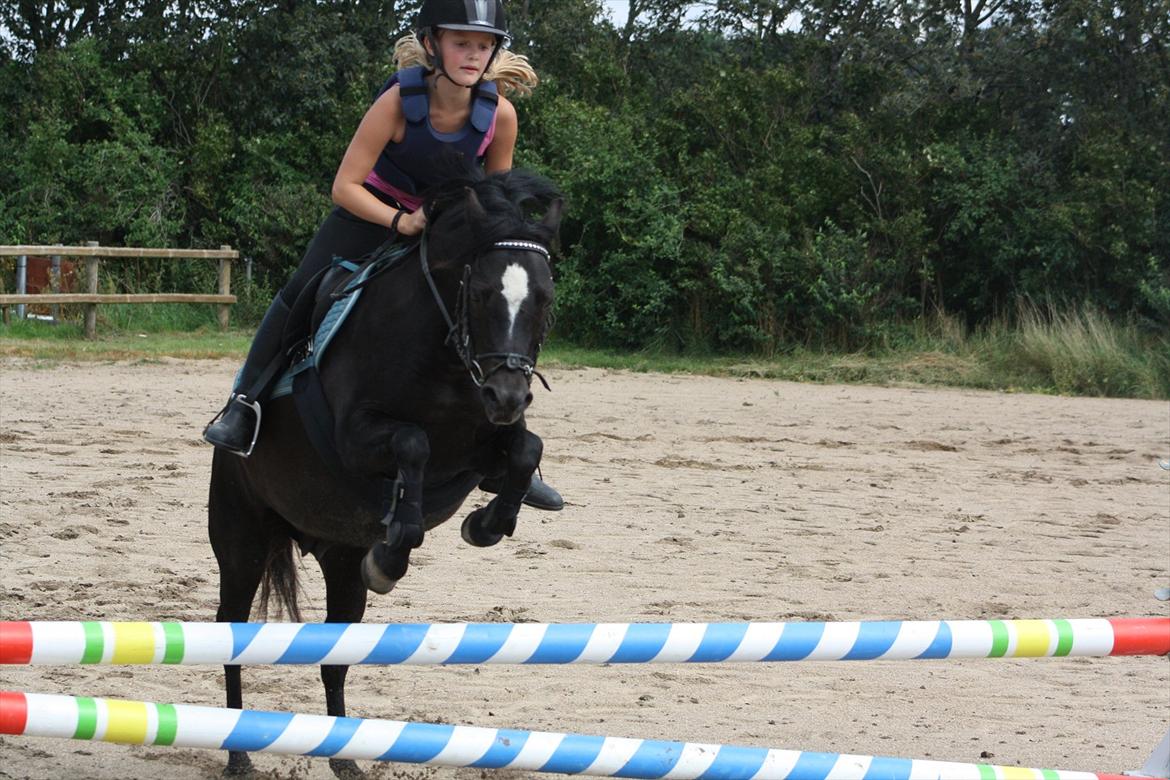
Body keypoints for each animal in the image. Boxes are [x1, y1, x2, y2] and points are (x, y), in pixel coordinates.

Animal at [207, 169, 562, 778]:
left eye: (543, 297)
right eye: (481, 292)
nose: (508, 395)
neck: (446, 361)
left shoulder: (480, 450)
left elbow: (523, 449)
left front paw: (485, 524)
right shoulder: (354, 436)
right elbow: (412, 443)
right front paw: (396, 548)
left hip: (341, 563)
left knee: (334, 657)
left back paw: (344, 758)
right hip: (242, 541)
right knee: (232, 633)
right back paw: (237, 754)